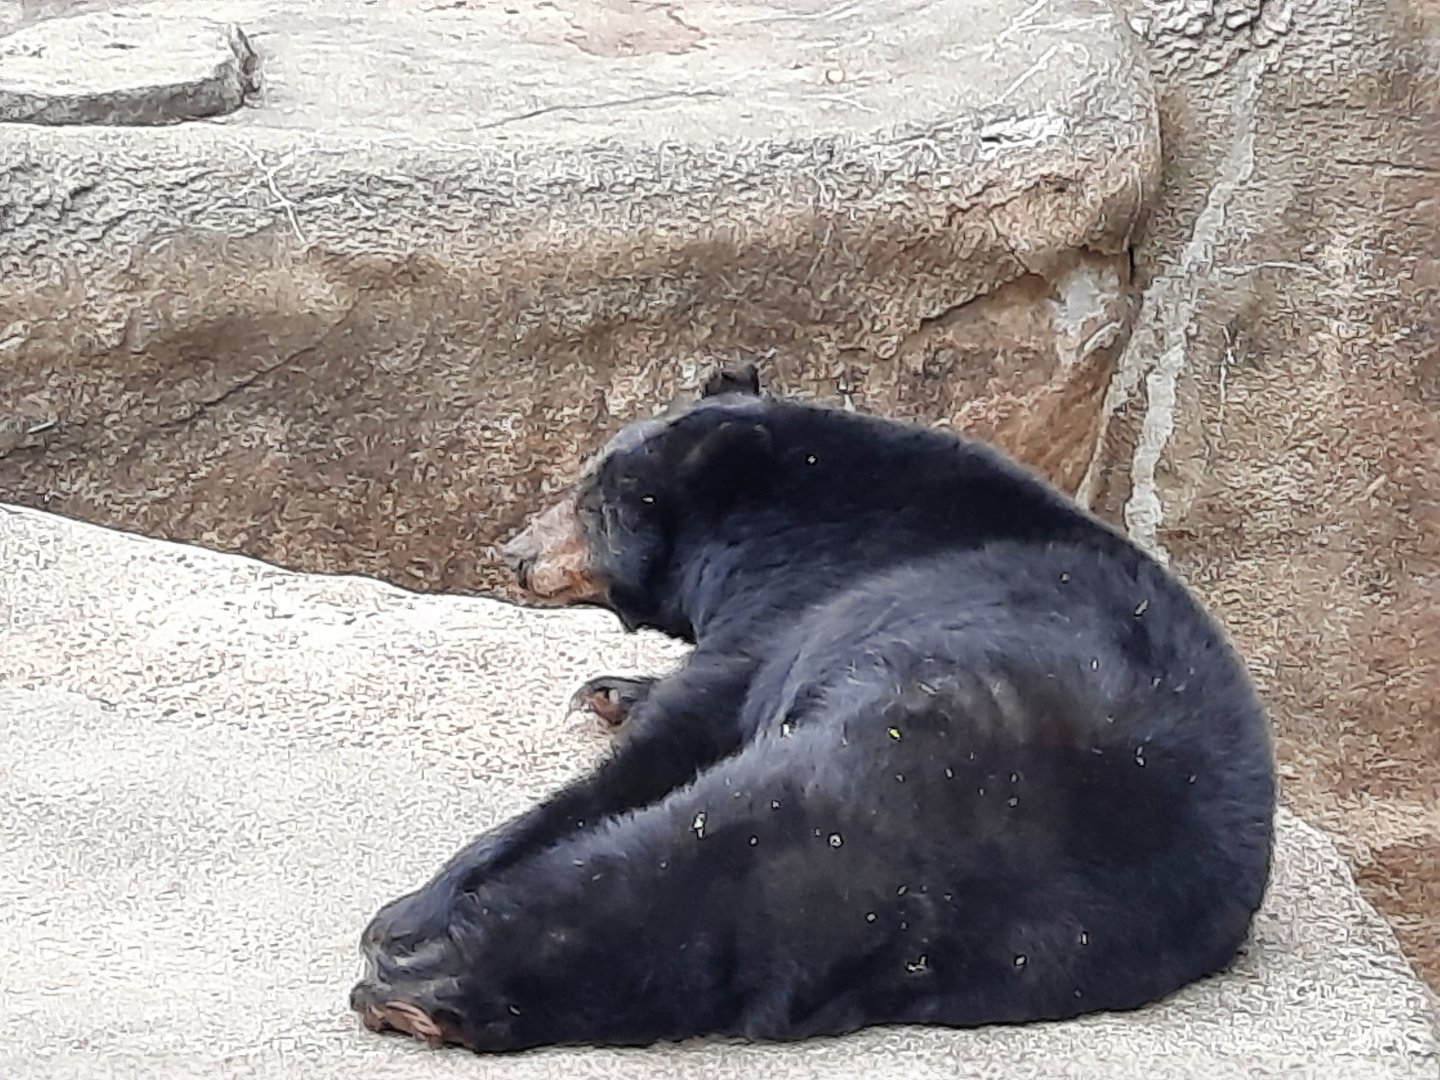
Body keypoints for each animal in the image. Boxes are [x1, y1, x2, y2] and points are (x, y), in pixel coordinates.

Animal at [349, 363, 1277, 1054]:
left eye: (589, 498)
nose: (515, 552)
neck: (783, 513)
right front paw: (609, 688)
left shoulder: (804, 597)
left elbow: (678, 734)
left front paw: (424, 900)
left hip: (890, 764)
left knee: (693, 859)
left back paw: (419, 970)